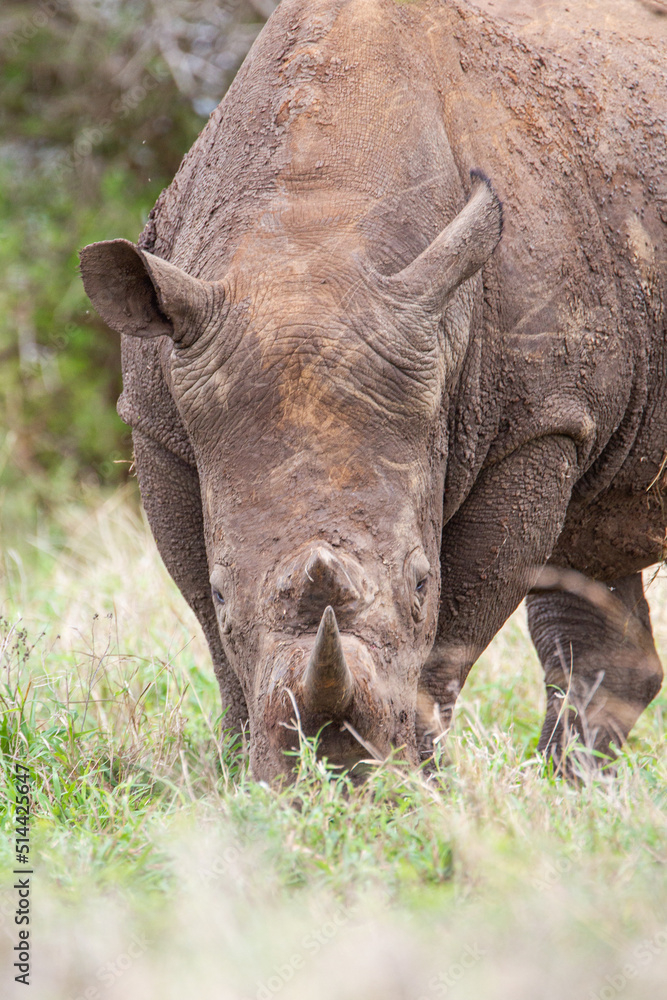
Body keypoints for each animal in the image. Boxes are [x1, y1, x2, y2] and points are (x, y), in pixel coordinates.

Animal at [80, 0, 666, 782]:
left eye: (420, 582)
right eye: (225, 590)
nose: (332, 773)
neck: (307, 235)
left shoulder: (539, 421)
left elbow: (463, 609)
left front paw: (413, 779)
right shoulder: (159, 418)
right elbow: (204, 611)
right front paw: (239, 775)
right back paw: (568, 790)